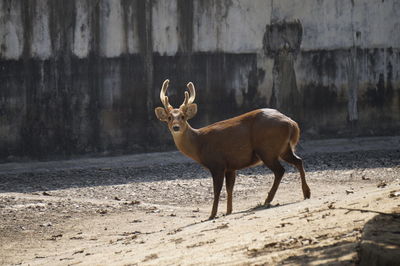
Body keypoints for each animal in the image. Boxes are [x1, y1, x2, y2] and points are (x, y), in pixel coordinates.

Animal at [155, 79, 310, 220]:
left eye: (182, 117)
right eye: (169, 117)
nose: (176, 127)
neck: (199, 144)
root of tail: (292, 123)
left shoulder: (217, 164)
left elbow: (217, 190)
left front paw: (212, 215)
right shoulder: (231, 167)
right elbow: (230, 188)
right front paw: (228, 211)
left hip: (267, 149)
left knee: (280, 170)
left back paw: (268, 200)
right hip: (283, 148)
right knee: (298, 161)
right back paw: (306, 193)